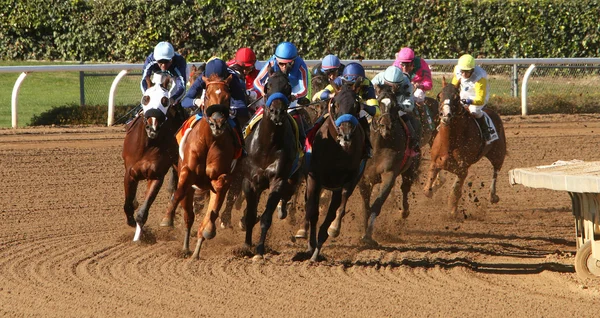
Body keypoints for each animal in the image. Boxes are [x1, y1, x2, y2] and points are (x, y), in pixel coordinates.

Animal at [119, 71, 180, 241]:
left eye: (165, 100)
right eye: (146, 98)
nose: (152, 127)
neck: (148, 145)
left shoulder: (156, 175)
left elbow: (143, 213)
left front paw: (139, 236)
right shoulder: (130, 173)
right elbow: (128, 205)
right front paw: (132, 221)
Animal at [162, 71, 241, 258]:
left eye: (227, 97)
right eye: (207, 96)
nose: (218, 123)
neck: (209, 140)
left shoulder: (220, 178)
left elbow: (214, 206)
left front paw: (209, 229)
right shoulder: (187, 172)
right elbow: (179, 191)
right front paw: (168, 218)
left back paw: (197, 248)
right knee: (188, 217)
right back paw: (186, 247)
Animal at [302, 84, 364, 260]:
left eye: (356, 105)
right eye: (335, 104)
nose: (346, 135)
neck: (338, 151)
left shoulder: (349, 179)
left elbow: (340, 207)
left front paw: (334, 228)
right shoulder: (314, 177)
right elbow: (311, 209)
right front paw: (304, 234)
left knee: (329, 215)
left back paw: (317, 251)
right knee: (312, 209)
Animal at [356, 83, 422, 245]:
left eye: (395, 105)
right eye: (378, 103)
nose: (386, 127)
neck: (379, 146)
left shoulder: (389, 174)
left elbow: (376, 205)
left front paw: (368, 235)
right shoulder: (363, 179)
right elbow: (366, 207)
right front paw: (364, 234)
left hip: (411, 168)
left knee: (405, 188)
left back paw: (404, 212)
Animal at [422, 77, 506, 216]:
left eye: (456, 97)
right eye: (439, 96)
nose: (445, 115)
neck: (450, 142)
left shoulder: (462, 169)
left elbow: (456, 190)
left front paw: (453, 210)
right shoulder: (435, 163)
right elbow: (427, 191)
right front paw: (433, 188)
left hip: (498, 152)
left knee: (496, 170)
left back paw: (493, 196)